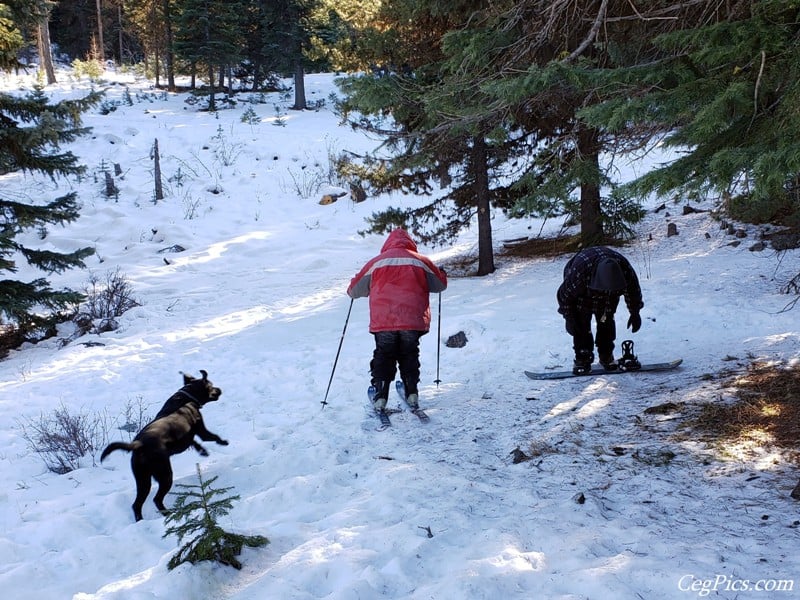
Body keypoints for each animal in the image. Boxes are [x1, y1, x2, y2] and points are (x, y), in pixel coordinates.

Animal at [101, 370, 228, 520]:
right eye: (211, 385)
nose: (220, 389)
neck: (186, 396)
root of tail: (139, 444)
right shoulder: (201, 430)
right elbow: (212, 436)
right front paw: (223, 442)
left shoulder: (186, 438)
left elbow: (194, 442)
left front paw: (202, 450)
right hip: (165, 475)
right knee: (156, 499)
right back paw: (168, 513)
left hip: (143, 479)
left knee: (137, 504)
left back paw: (141, 520)